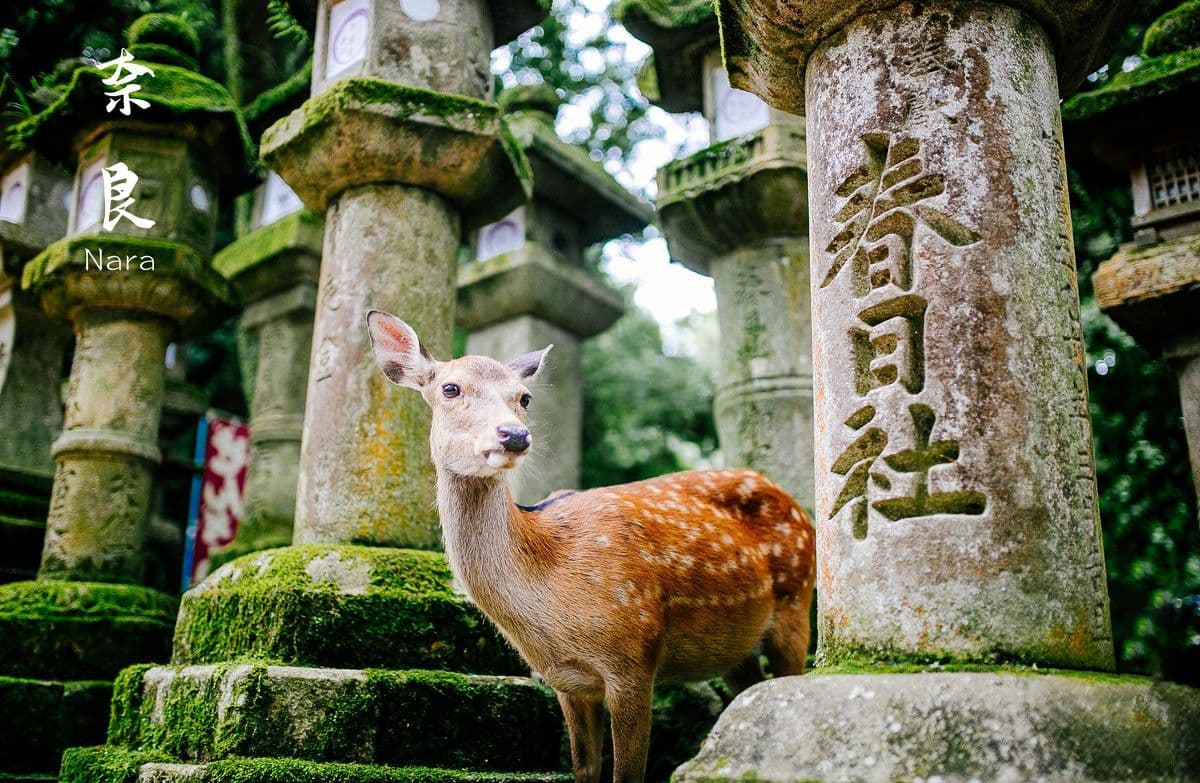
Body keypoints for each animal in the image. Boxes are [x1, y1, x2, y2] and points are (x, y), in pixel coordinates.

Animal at [366, 309, 816, 783]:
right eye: (449, 388)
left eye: (524, 397)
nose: (514, 435)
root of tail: (793, 503)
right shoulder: (567, 681)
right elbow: (585, 769)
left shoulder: (634, 656)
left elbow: (628, 773)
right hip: (734, 648)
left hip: (796, 601)